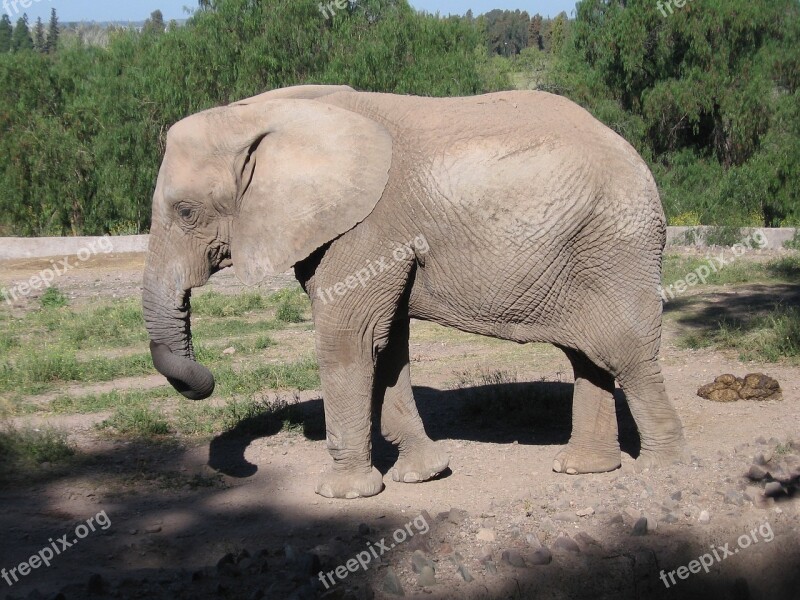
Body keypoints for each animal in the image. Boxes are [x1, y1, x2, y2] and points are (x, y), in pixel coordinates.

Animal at [141, 83, 684, 496]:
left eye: (186, 212)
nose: (205, 379)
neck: (268, 113)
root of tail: (637, 158)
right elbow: (386, 343)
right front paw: (424, 475)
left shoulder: (367, 228)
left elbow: (350, 339)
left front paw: (343, 494)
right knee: (587, 355)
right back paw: (584, 468)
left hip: (615, 245)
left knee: (627, 352)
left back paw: (660, 470)